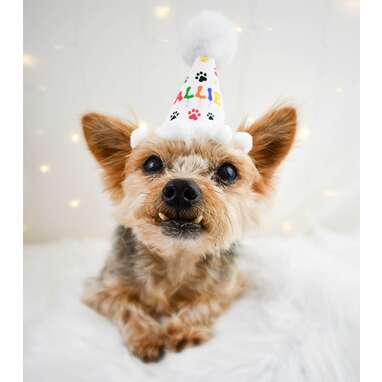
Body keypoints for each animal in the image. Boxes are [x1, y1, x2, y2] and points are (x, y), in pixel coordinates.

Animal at [80, 105, 296, 362]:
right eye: (152, 163)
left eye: (228, 171)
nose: (181, 189)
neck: (177, 256)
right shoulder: (99, 289)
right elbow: (127, 307)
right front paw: (146, 336)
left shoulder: (230, 286)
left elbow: (204, 304)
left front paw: (182, 329)